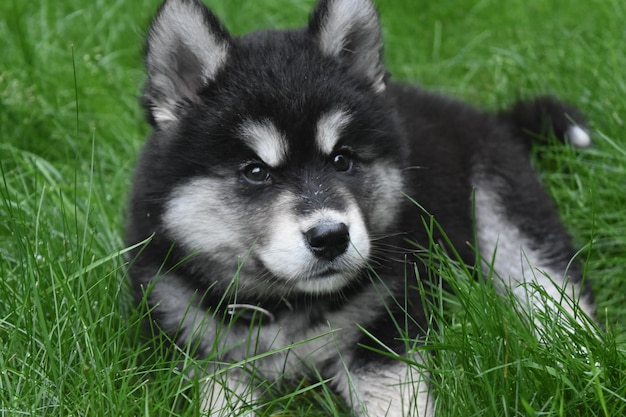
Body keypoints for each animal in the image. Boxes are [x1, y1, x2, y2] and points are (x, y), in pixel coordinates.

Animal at [124, 0, 592, 414]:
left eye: (342, 159)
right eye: (255, 171)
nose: (331, 237)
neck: (287, 306)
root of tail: (491, 119)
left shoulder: (383, 335)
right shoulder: (205, 353)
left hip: (506, 212)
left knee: (554, 292)